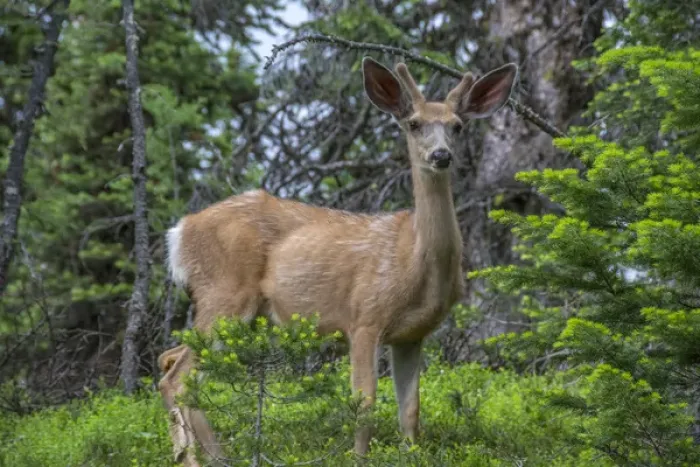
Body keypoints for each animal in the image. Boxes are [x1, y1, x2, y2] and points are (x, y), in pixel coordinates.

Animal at [158, 56, 518, 466]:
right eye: (413, 123)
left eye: (457, 126)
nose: (441, 155)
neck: (415, 261)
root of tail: (180, 231)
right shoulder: (364, 316)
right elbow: (364, 402)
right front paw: (359, 457)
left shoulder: (412, 335)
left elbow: (410, 410)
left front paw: (409, 454)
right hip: (225, 296)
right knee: (176, 377)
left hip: (236, 313)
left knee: (174, 362)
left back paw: (215, 456)